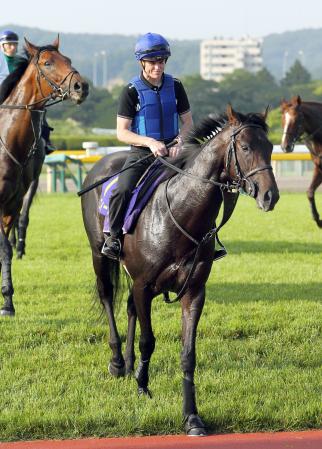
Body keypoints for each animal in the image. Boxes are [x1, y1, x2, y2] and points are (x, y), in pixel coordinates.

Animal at [0, 36, 88, 316]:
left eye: (67, 60)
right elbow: (3, 247)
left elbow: (6, 247)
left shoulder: (13, 203)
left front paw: (7, 301)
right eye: (48, 63)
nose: (81, 86)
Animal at [80, 105, 280, 434]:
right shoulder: (144, 285)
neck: (180, 214)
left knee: (129, 308)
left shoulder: (194, 291)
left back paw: (129, 362)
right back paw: (118, 362)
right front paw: (143, 387)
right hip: (100, 255)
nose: (270, 196)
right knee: (108, 296)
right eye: (246, 147)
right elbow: (149, 340)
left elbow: (188, 355)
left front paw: (191, 417)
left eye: (271, 147)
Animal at [280, 96, 322, 226]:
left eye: (297, 119)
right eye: (283, 118)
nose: (285, 146)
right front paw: (318, 219)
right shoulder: (319, 168)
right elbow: (309, 192)